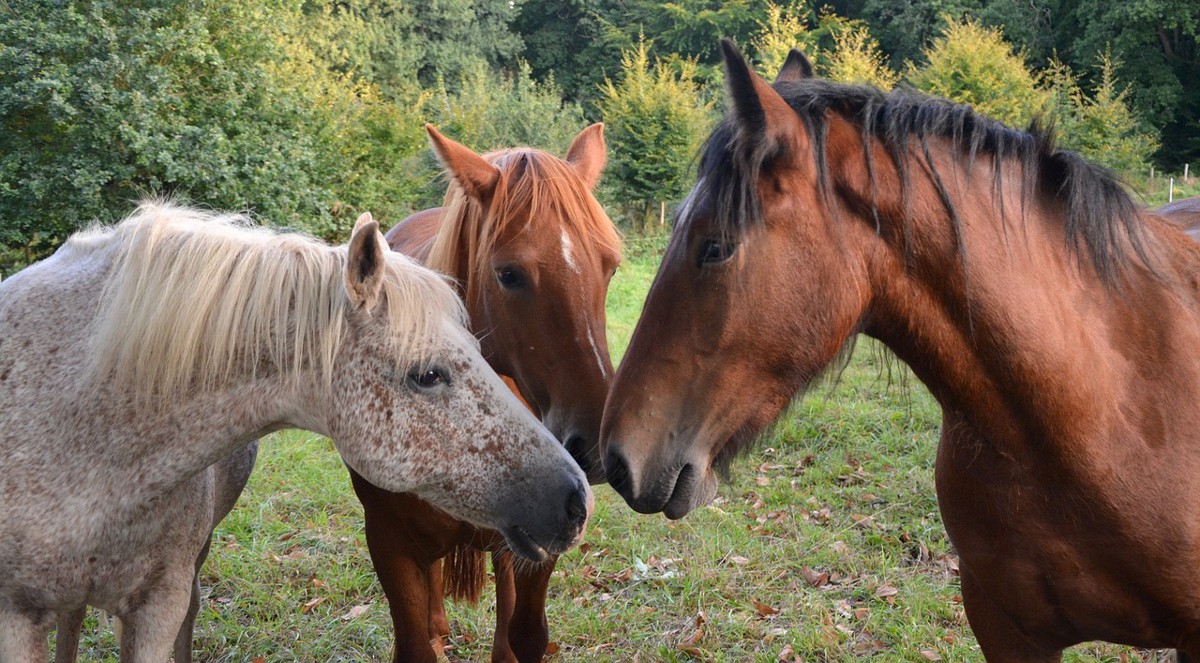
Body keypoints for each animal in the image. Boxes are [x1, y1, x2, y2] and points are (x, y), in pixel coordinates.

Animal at [345, 124, 619, 663]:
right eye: (509, 274)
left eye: (610, 267)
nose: (595, 446)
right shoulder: (388, 542)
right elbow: (416, 643)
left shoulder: (542, 539)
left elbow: (525, 635)